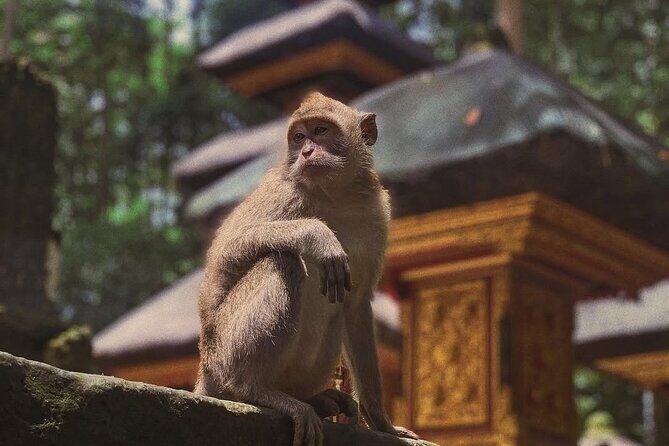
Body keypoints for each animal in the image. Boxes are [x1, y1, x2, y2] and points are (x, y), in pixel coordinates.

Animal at [194, 92, 417, 446]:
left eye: (321, 130)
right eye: (299, 137)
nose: (307, 152)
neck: (335, 194)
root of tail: (206, 365)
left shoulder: (377, 214)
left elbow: (357, 305)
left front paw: (382, 422)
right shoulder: (282, 192)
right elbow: (226, 251)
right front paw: (317, 235)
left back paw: (318, 400)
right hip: (223, 352)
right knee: (281, 261)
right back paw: (251, 390)